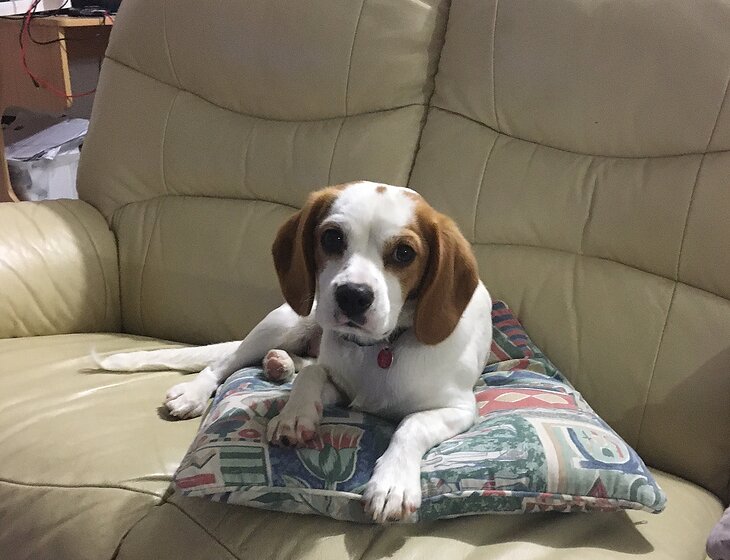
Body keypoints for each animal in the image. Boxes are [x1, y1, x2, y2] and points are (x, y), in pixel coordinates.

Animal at [96, 181, 493, 522]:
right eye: (332, 237)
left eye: (404, 252)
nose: (353, 295)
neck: (380, 348)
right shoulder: (341, 383)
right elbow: (313, 375)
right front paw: (295, 415)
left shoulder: (459, 408)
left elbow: (411, 425)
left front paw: (392, 482)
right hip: (288, 319)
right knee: (228, 361)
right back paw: (199, 390)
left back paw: (279, 364)